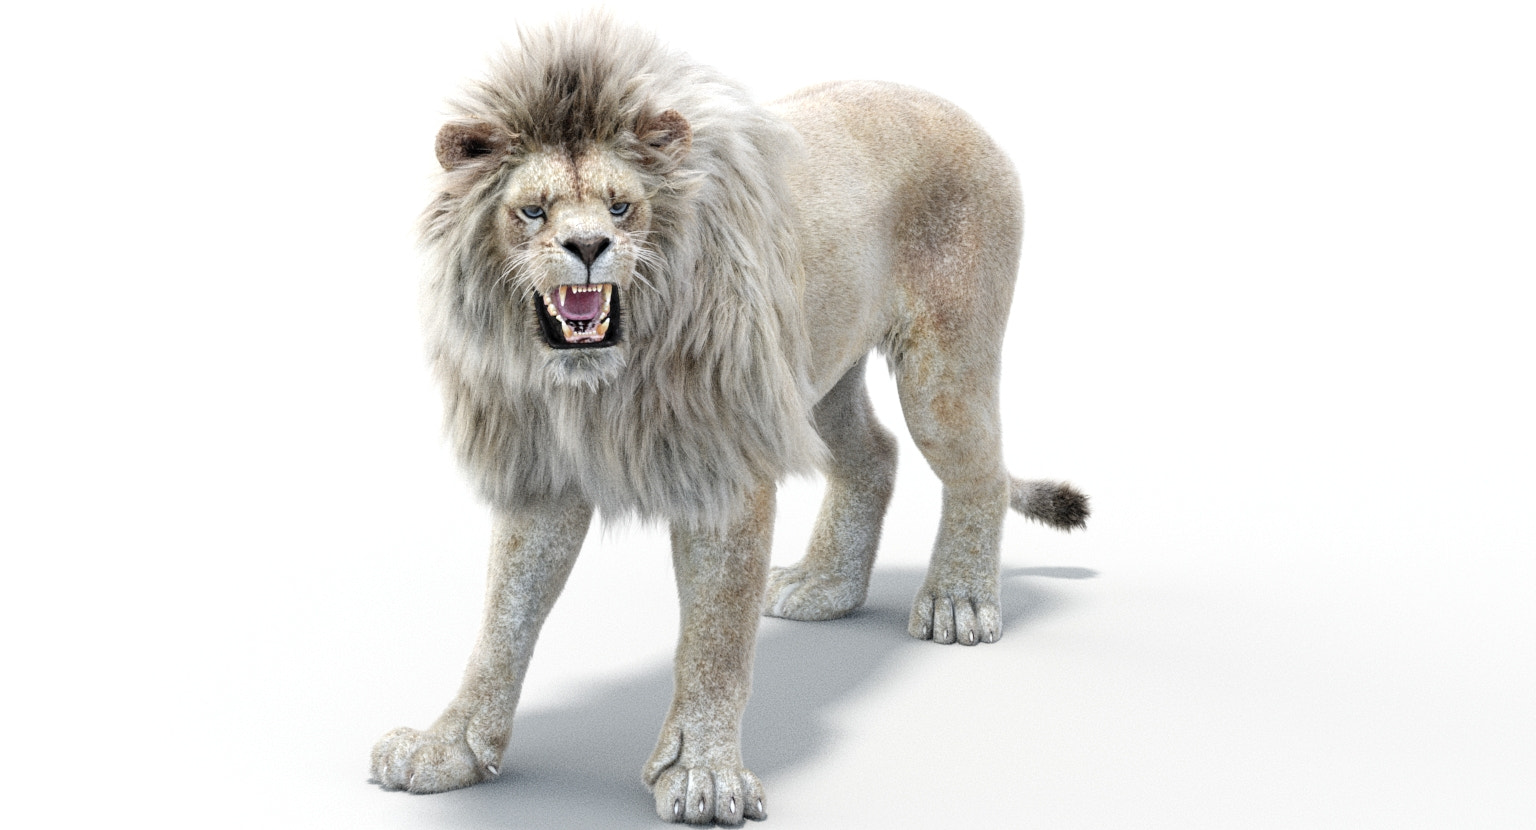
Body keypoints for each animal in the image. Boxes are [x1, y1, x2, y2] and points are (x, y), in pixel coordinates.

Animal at [371, 14, 1088, 825]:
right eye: (533, 210)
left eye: (620, 207)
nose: (588, 248)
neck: (597, 382)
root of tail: (959, 113)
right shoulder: (542, 470)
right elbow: (503, 618)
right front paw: (449, 747)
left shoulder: (726, 459)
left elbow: (715, 635)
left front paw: (703, 776)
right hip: (814, 375)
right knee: (875, 453)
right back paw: (822, 588)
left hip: (942, 366)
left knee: (980, 470)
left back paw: (959, 602)